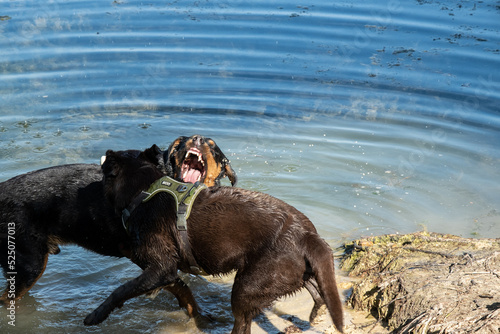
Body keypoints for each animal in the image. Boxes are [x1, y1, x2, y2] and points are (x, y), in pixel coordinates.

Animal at [84, 146, 346, 334]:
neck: (144, 190)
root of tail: (307, 235)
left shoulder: (161, 267)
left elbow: (123, 289)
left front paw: (96, 315)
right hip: (288, 272)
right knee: (315, 289)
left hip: (248, 285)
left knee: (243, 323)